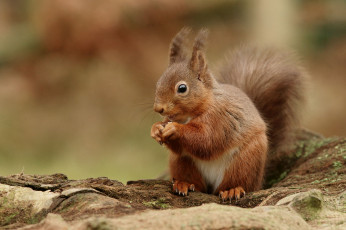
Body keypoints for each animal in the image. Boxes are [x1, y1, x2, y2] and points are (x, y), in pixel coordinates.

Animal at [150, 27, 304, 202]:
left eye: (182, 88)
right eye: (158, 82)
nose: (158, 108)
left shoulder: (220, 118)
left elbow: (206, 139)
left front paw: (175, 129)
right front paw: (156, 129)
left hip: (245, 162)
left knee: (236, 184)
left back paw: (232, 190)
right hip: (182, 163)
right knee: (197, 184)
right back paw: (184, 184)